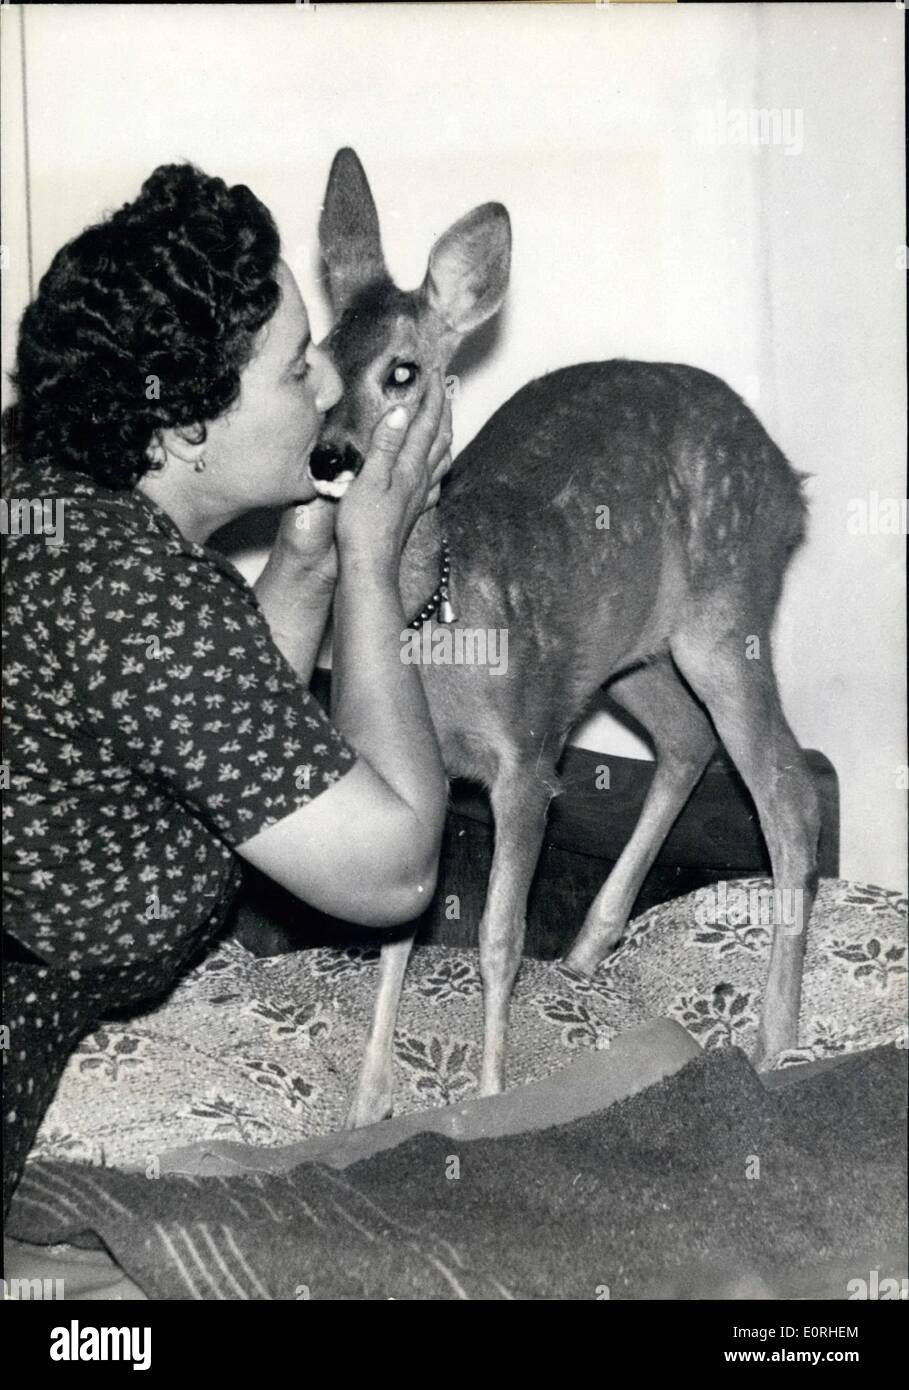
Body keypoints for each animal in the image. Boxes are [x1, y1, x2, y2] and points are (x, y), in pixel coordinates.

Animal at [308, 152, 828, 1128]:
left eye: (401, 372)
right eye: (315, 366)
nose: (330, 457)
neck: (439, 622)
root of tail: (791, 484)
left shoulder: (524, 754)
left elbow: (497, 934)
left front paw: (489, 1098)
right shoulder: (425, 775)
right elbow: (399, 927)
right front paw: (366, 1105)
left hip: (723, 617)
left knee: (786, 787)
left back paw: (776, 1040)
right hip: (622, 655)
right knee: (685, 740)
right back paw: (591, 948)